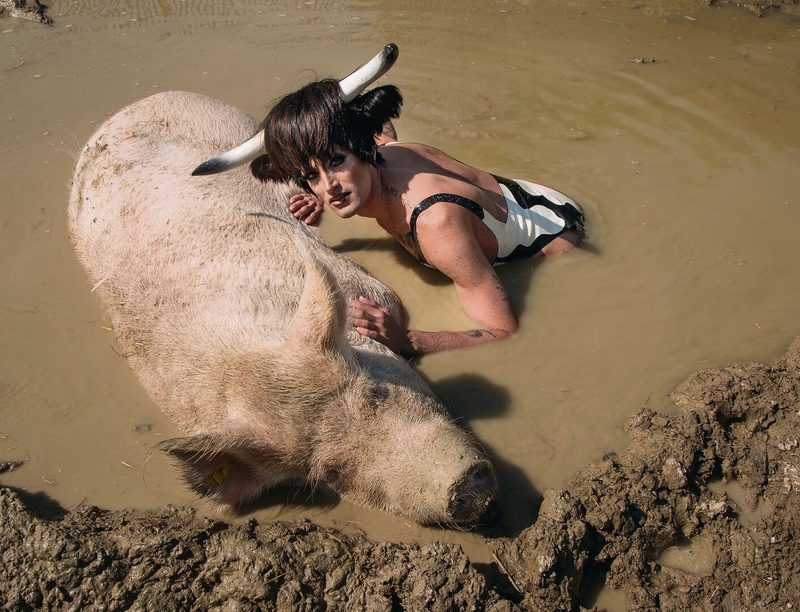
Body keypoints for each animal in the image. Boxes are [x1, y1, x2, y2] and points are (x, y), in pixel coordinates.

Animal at [67, 90, 496, 525]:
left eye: (377, 393)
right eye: (331, 471)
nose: (465, 490)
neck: (243, 351)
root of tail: (135, 104)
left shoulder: (373, 289)